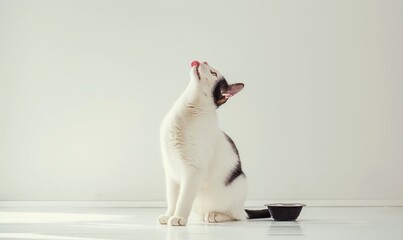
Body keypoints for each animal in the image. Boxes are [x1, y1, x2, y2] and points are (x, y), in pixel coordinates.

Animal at [159, 61, 248, 226]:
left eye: (213, 73)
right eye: (211, 68)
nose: (202, 61)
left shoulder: (193, 171)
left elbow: (183, 200)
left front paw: (179, 217)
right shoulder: (171, 171)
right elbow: (172, 199)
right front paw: (169, 215)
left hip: (239, 185)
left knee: (238, 216)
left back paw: (215, 215)